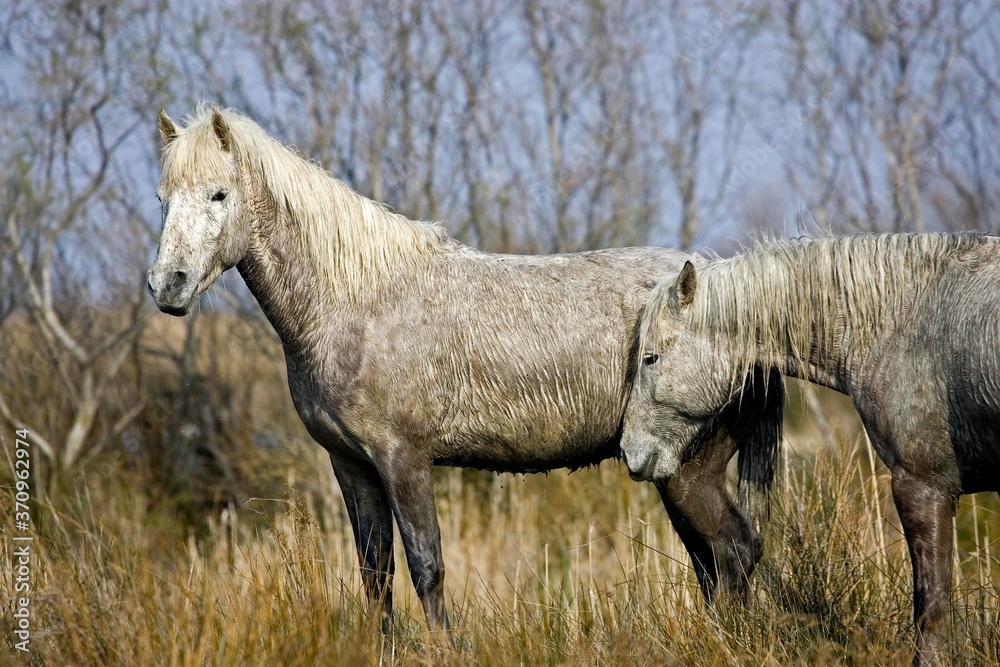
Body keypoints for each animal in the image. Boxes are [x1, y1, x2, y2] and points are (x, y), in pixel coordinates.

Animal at [146, 106, 784, 633]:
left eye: (219, 195)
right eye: (163, 197)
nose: (167, 285)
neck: (356, 301)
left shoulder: (403, 459)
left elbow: (427, 568)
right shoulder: (352, 466)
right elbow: (376, 577)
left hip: (687, 470)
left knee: (733, 551)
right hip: (677, 474)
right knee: (716, 561)